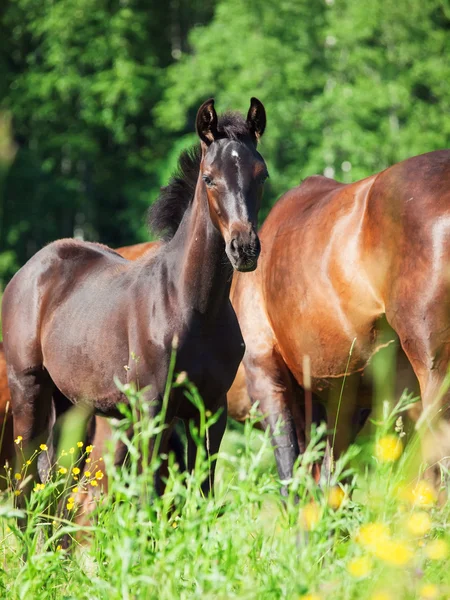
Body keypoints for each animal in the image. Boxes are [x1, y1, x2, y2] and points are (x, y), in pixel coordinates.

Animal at [0, 97, 268, 502]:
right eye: (209, 177)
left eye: (261, 175)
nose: (244, 248)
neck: (195, 308)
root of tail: (29, 271)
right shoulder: (151, 408)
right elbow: (149, 495)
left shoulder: (210, 410)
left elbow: (201, 494)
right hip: (27, 388)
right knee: (25, 480)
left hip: (73, 406)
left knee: (62, 483)